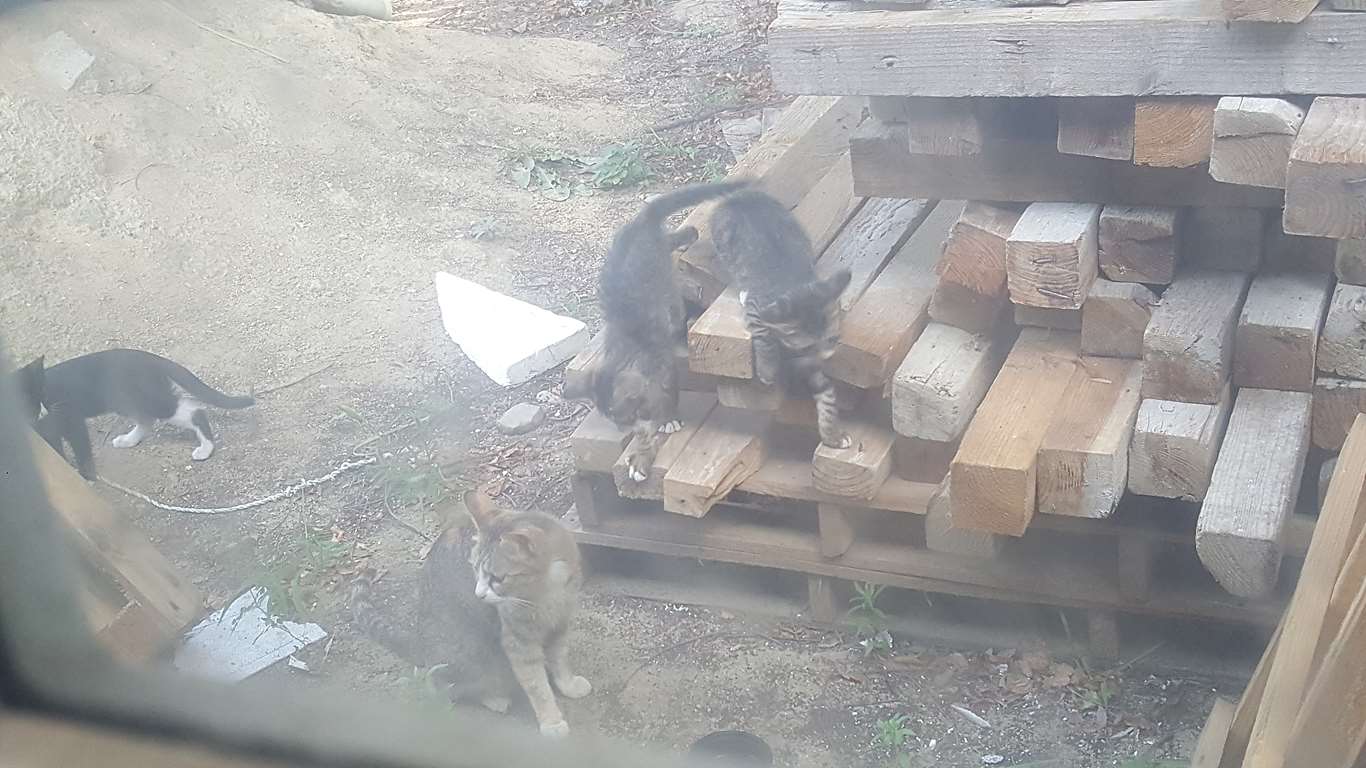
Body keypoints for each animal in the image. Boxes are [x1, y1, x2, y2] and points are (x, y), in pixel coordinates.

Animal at [18, 349, 254, 480]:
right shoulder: (47, 435)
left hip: (149, 399)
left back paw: (205, 448)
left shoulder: (71, 419)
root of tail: (151, 358)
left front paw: (87, 478)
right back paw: (128, 440)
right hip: (127, 401)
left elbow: (82, 452)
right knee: (147, 420)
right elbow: (56, 453)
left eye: (42, 391)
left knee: (193, 411)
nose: (44, 409)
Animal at [350, 489, 589, 737]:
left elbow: (560, 659)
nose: (479, 594)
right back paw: (493, 698)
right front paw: (551, 721)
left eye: (497, 578)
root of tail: (419, 640)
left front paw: (568, 684)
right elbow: (536, 685)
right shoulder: (518, 642)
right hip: (466, 657)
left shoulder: (560, 624)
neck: (547, 591)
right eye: (474, 568)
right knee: (437, 682)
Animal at [589, 179, 748, 482]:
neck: (630, 351)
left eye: (623, 416)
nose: (624, 430)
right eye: (615, 420)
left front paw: (669, 418)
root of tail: (640, 220)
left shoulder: (664, 364)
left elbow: (669, 391)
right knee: (673, 237)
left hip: (666, 286)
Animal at [709, 188, 853, 449]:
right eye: (807, 346)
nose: (824, 359)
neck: (794, 283)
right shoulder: (760, 307)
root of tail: (742, 196)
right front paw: (767, 370)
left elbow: (826, 393)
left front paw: (833, 435)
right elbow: (764, 335)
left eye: (832, 339)